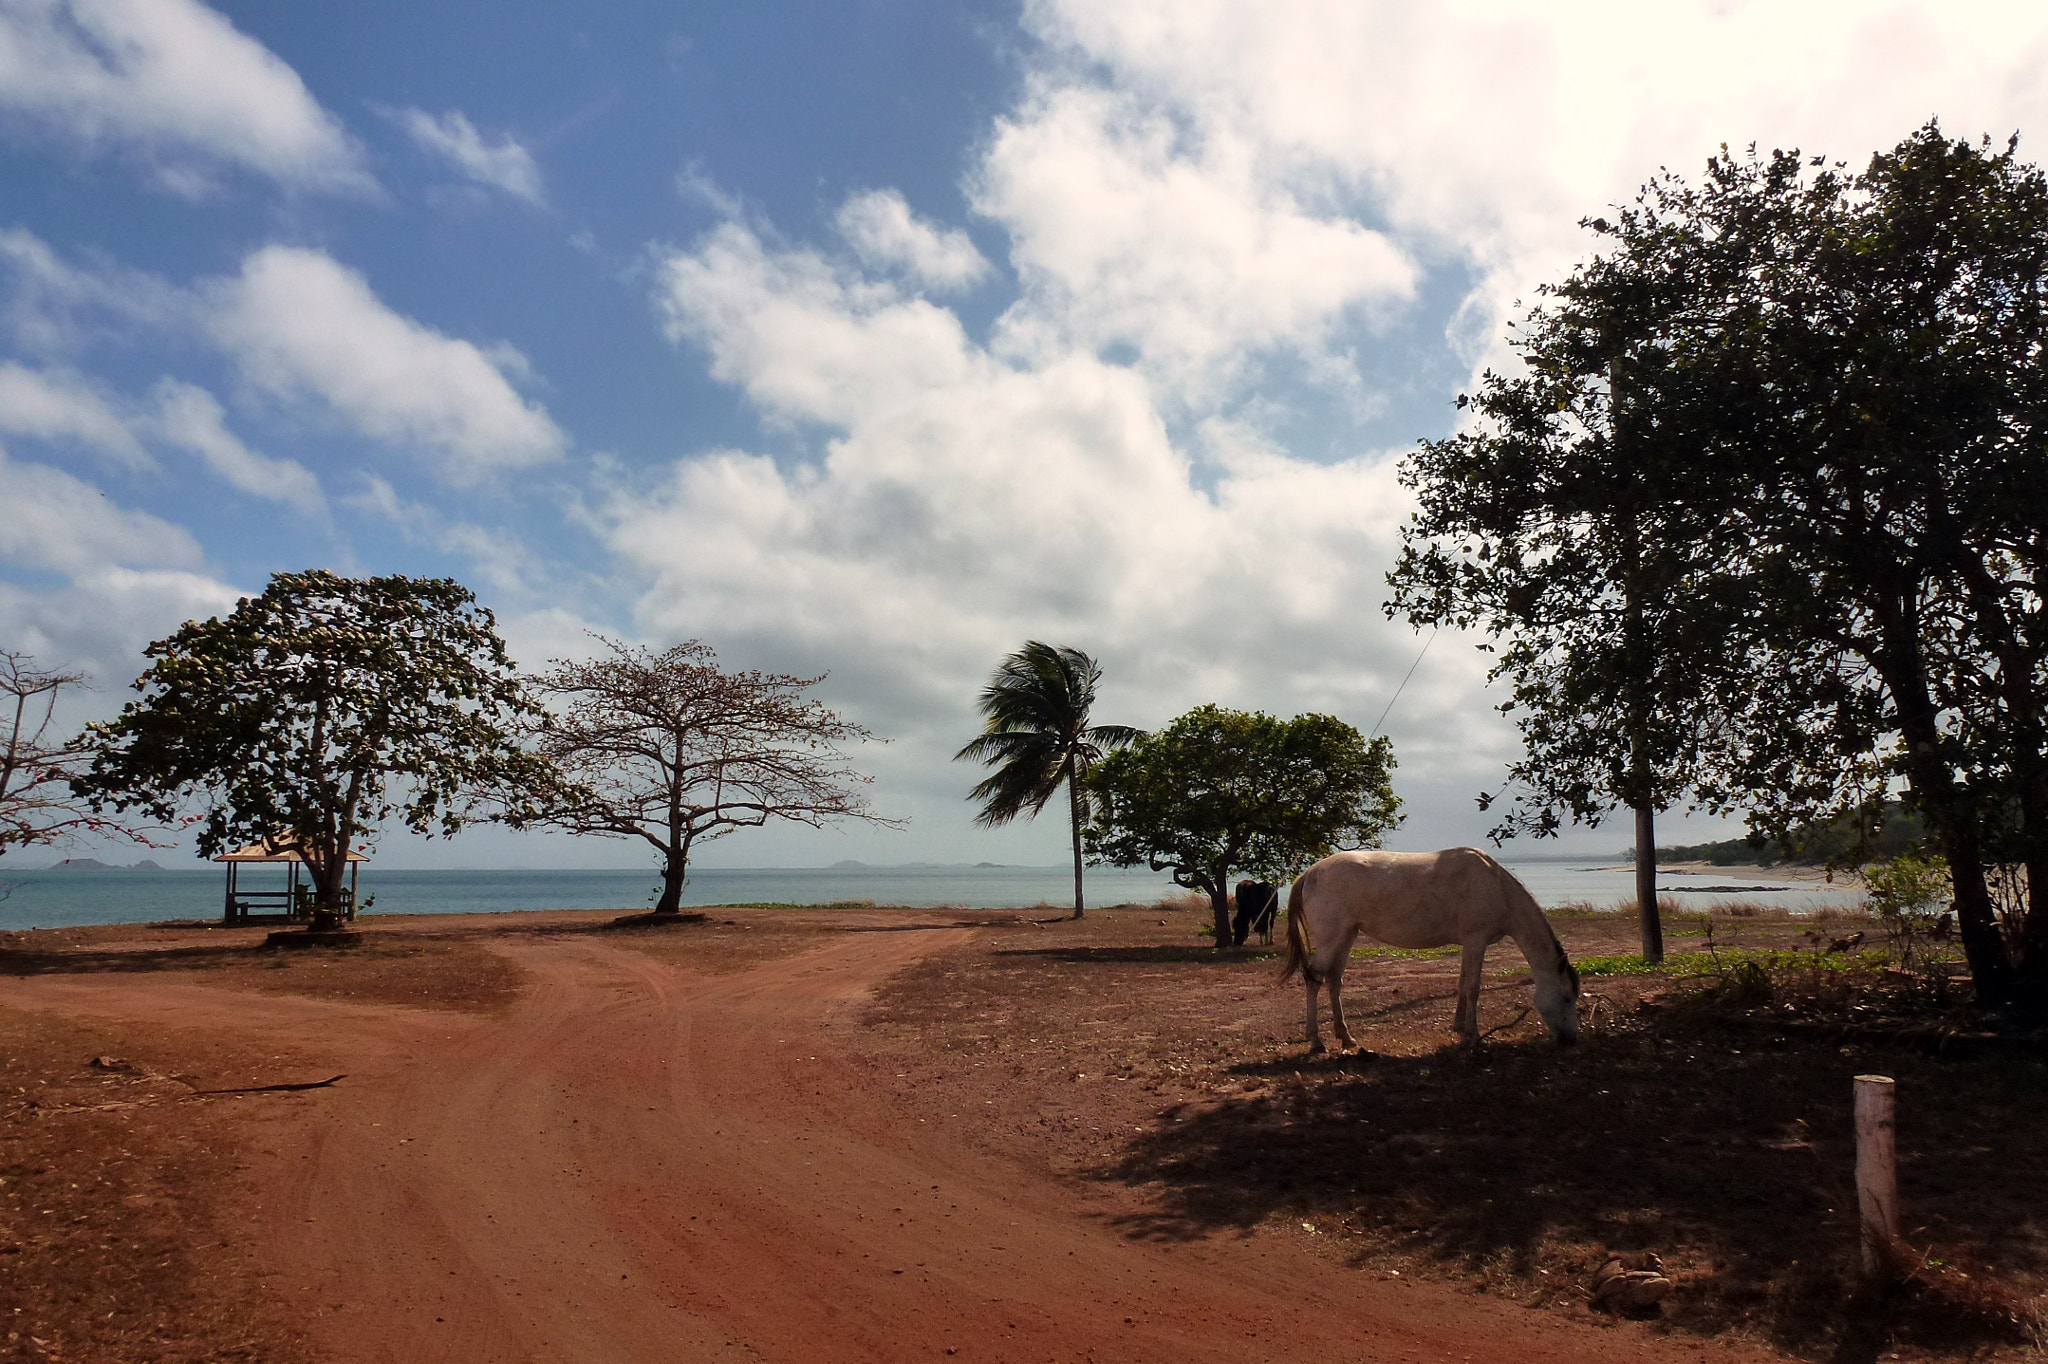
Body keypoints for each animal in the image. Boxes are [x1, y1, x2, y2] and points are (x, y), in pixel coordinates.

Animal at [1277, 839, 1581, 1048]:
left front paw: (1459, 1028)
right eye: (1566, 997)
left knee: (1334, 980)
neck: (1495, 886)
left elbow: (1462, 983)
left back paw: (1346, 1037)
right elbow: (1473, 987)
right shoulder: (1476, 940)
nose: (1571, 1039)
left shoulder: (1469, 943)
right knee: (1314, 979)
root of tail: (1309, 873)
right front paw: (1474, 1035)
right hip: (1331, 939)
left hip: (1346, 936)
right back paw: (1316, 1041)